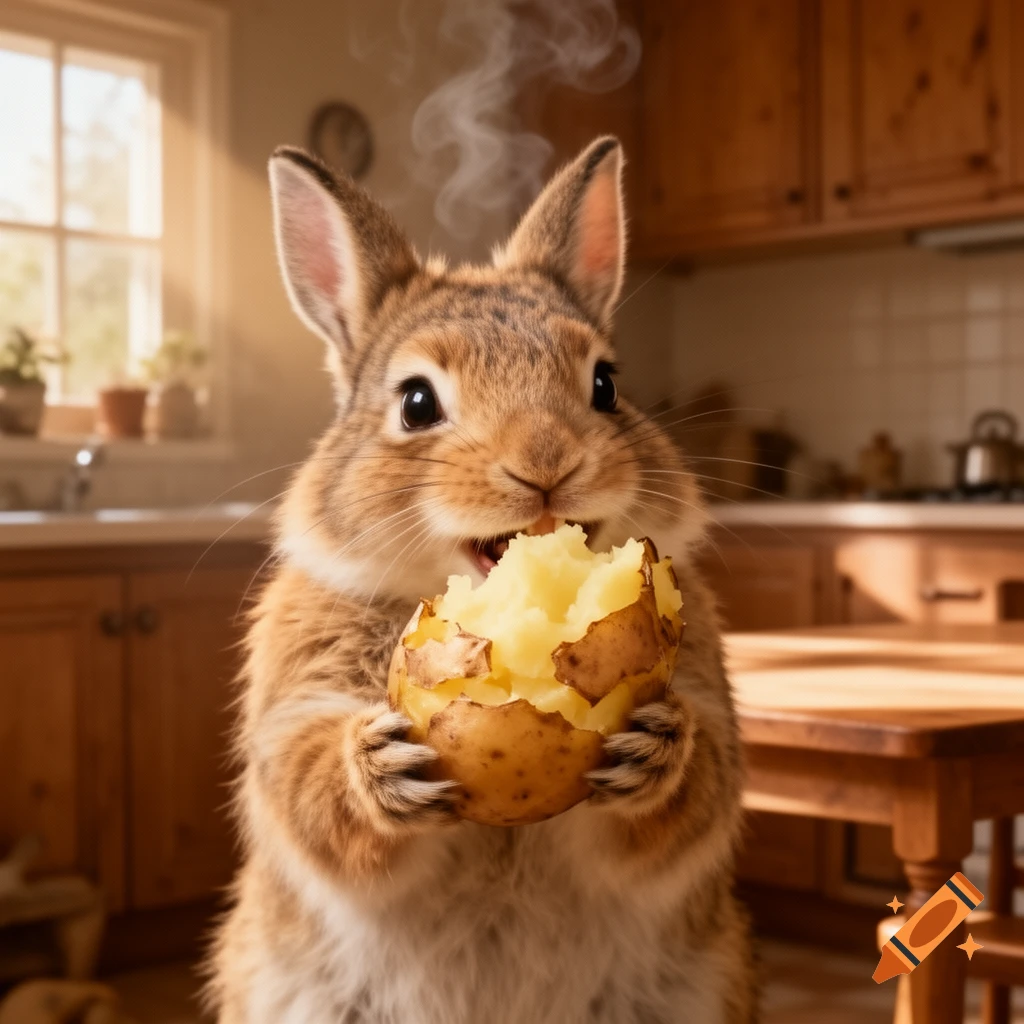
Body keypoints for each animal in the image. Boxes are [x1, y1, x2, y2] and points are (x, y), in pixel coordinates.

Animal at [207, 136, 757, 1024]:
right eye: (416, 402)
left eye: (605, 384)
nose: (546, 464)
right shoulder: (297, 702)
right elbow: (312, 789)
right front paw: (382, 767)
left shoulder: (706, 696)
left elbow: (692, 793)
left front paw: (654, 747)